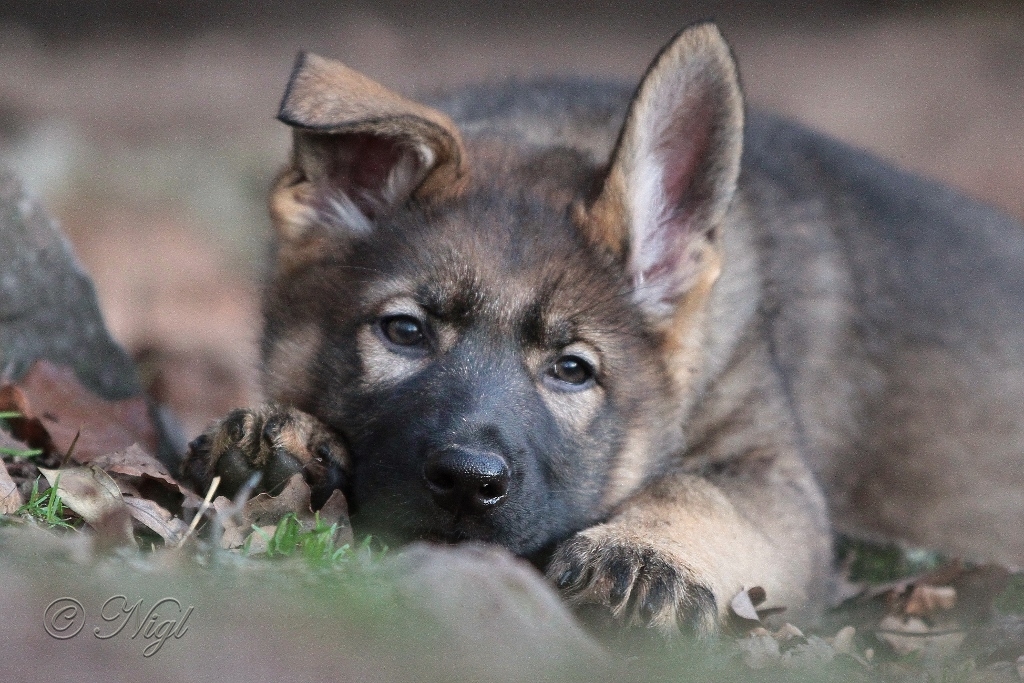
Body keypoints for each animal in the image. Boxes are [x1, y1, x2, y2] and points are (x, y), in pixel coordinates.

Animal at [182, 21, 1024, 638]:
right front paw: (279, 437)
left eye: (573, 369)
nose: (467, 482)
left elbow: (697, 489)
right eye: (405, 331)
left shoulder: (778, 481)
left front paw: (644, 551)